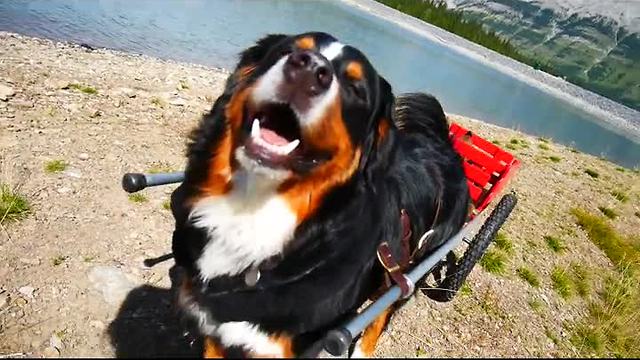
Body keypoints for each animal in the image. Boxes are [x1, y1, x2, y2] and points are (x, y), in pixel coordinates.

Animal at [170, 33, 470, 358]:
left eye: (355, 87)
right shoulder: (215, 329)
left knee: (385, 309)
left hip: (411, 269)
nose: (308, 68)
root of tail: (445, 148)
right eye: (288, 50)